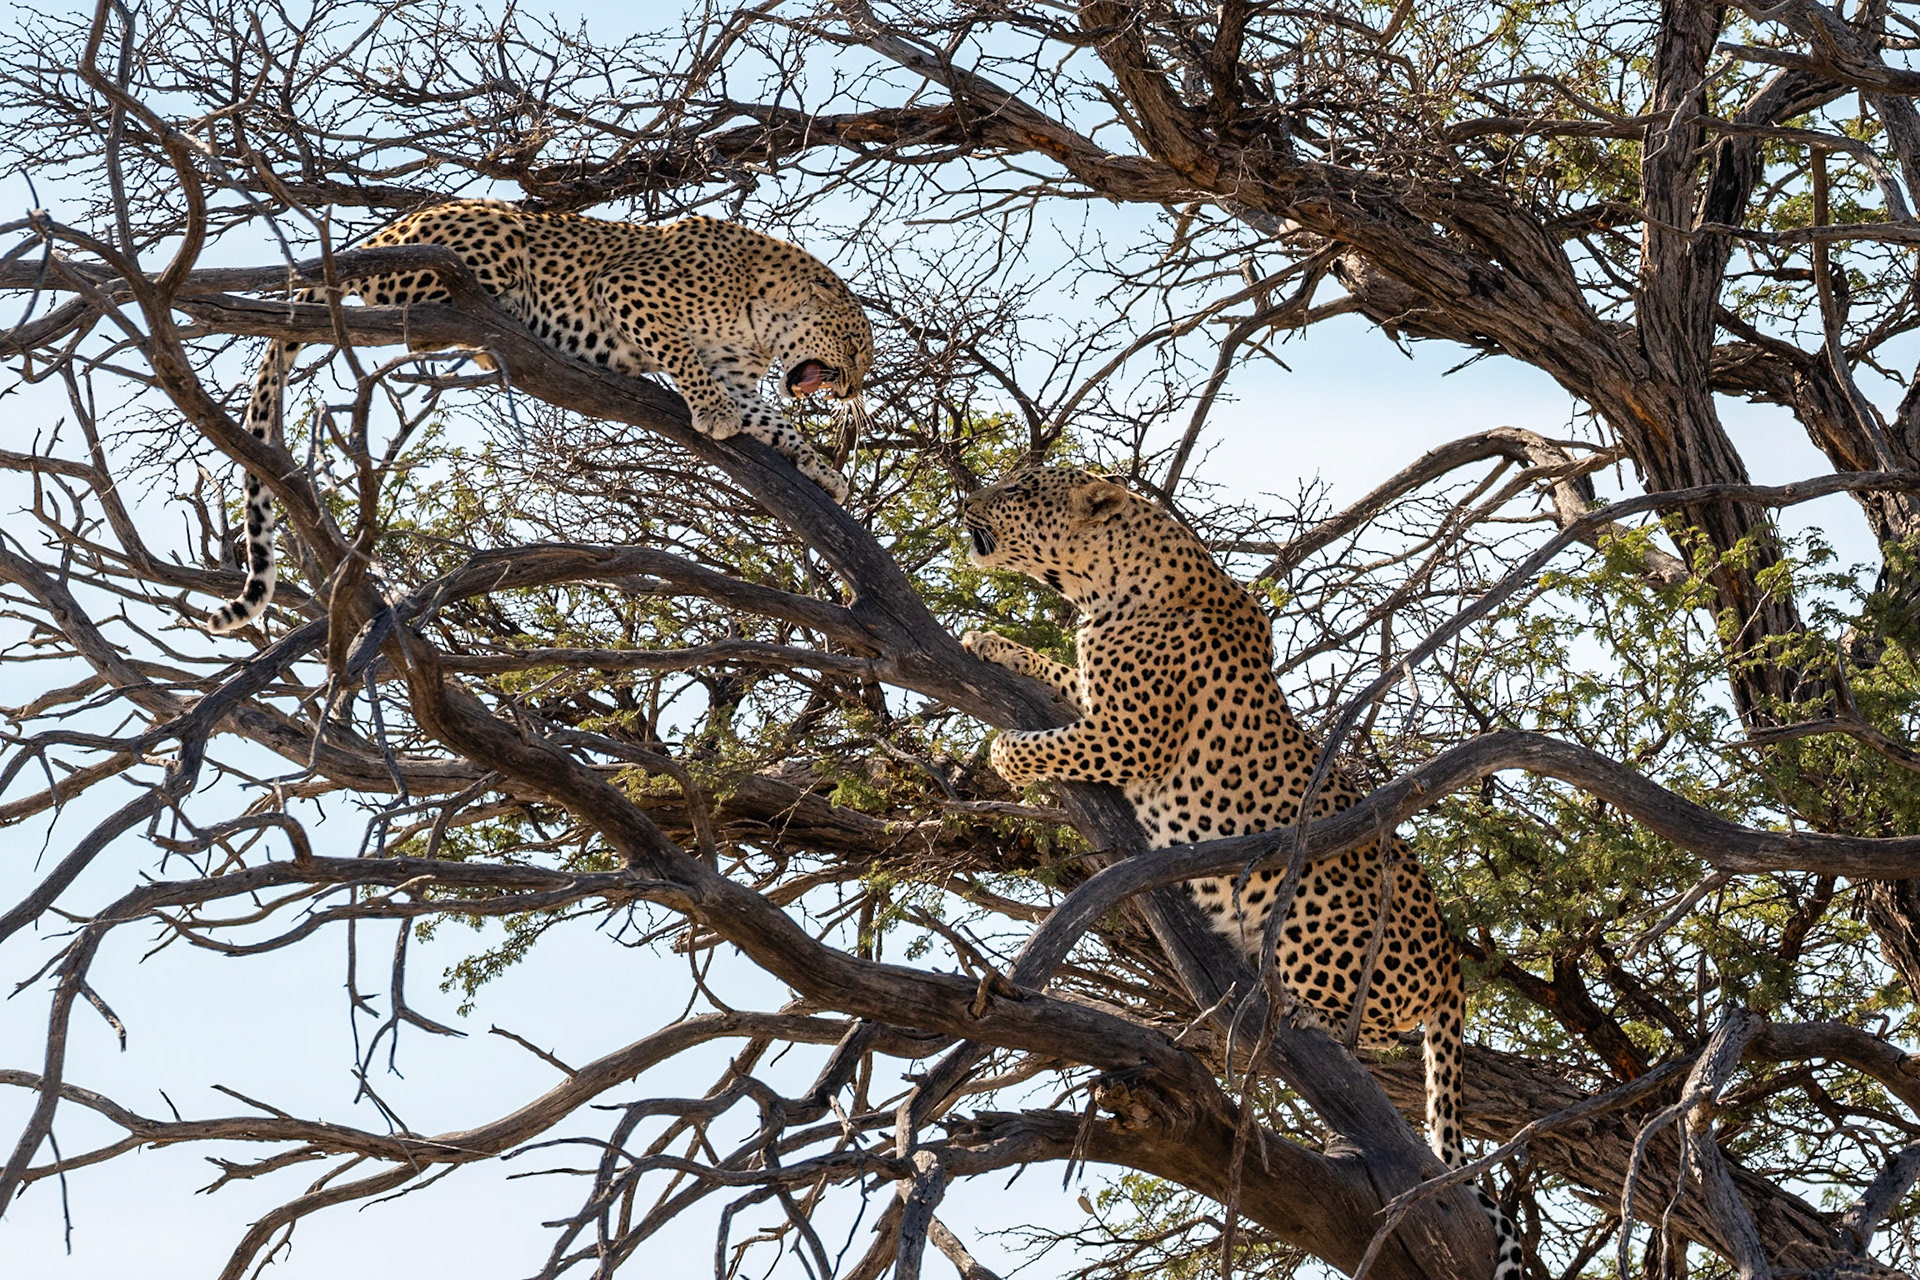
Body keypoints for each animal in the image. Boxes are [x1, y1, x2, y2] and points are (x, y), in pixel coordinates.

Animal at [207, 200, 871, 632]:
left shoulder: (737, 372)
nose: (855, 387)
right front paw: (712, 413)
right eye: (859, 348)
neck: (764, 315)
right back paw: (502, 310)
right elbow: (685, 360)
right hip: (491, 241)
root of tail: (383, 233)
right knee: (441, 310)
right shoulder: (628, 289)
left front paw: (822, 471)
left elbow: (775, 421)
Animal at [959, 466, 1521, 1279]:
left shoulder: (1128, 735)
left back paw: (1305, 1012)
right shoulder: (1097, 702)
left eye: (1023, 485)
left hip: (1314, 906)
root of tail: (1453, 964)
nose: (968, 498)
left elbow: (1044, 743)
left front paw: (1004, 756)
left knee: (1370, 1027)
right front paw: (992, 642)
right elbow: (1058, 673)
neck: (1102, 586)